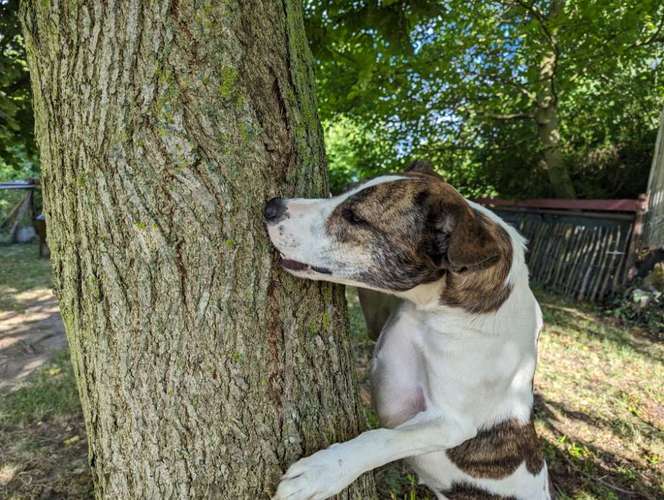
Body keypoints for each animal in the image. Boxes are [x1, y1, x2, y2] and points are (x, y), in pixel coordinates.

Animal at [264, 162, 548, 498]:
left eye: (355, 218)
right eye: (344, 193)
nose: (271, 207)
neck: (437, 308)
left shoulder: (450, 423)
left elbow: (383, 439)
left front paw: (321, 473)